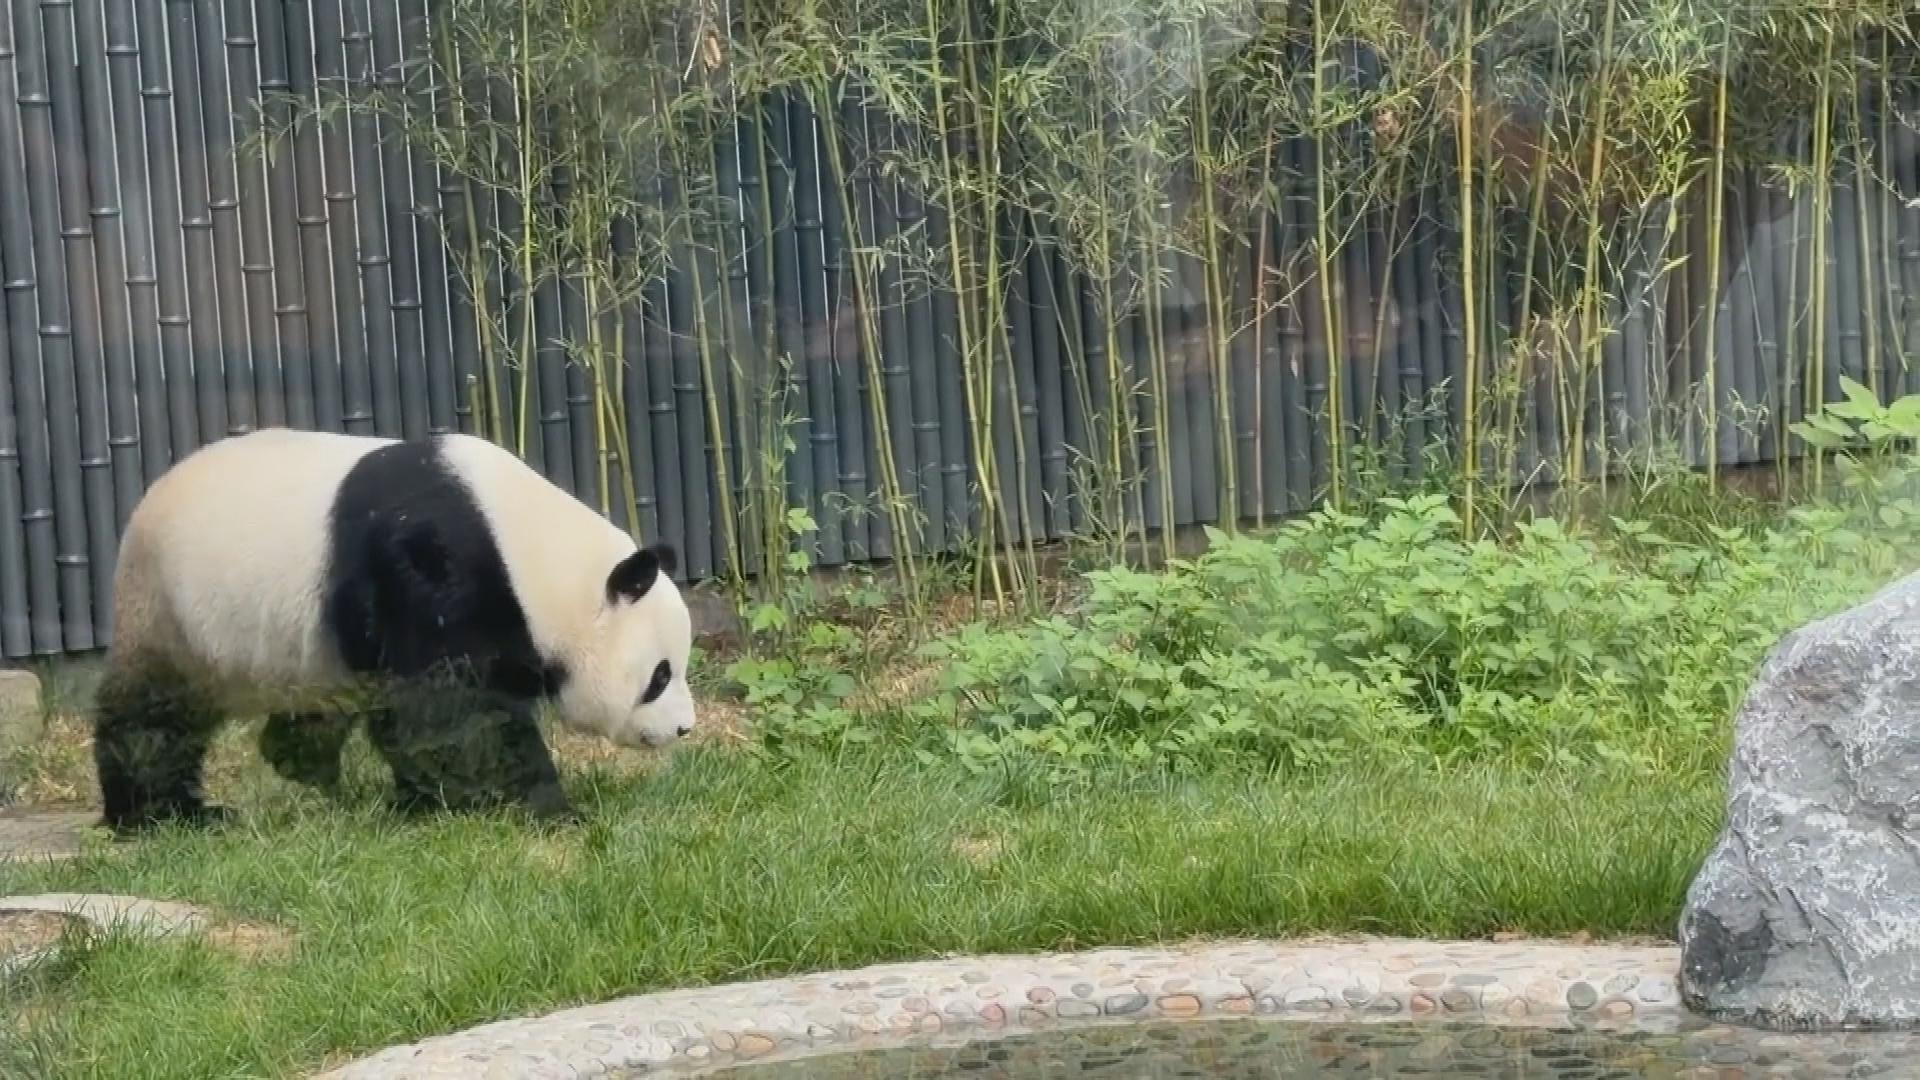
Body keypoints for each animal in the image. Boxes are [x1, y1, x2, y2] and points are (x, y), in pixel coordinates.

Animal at [92, 426, 697, 832]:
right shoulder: (435, 569)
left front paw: (421, 801)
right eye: (660, 676)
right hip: (170, 611)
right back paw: (163, 814)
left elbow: (420, 718)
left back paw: (306, 772)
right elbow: (452, 715)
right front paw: (547, 806)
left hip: (306, 650)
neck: (535, 555)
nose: (685, 729)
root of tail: (140, 507)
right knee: (154, 718)